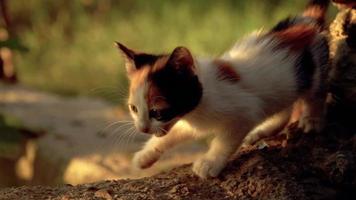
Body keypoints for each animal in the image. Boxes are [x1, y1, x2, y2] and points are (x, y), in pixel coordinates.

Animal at [116, 0, 328, 178]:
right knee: (284, 109)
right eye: (133, 109)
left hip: (315, 70)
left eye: (157, 112)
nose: (142, 128)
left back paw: (312, 119)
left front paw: (209, 163)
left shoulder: (243, 112)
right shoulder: (188, 121)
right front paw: (145, 156)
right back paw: (262, 130)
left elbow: (224, 141)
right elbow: (173, 134)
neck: (198, 107)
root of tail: (307, 20)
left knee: (315, 94)